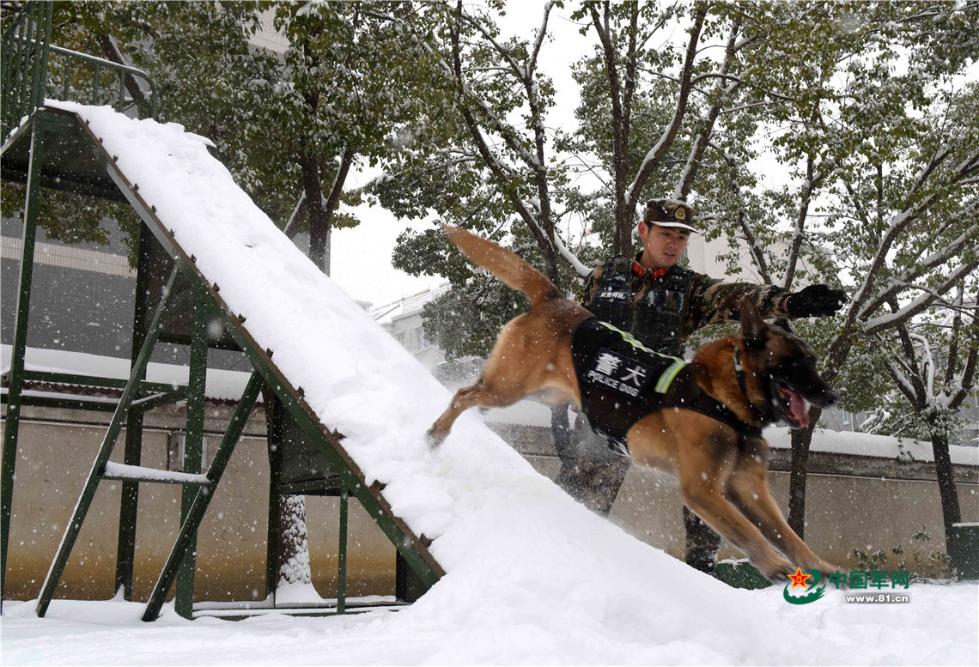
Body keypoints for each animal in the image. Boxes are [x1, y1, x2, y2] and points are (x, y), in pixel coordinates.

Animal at [432, 224, 848, 580]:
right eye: (796, 363)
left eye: (812, 360)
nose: (831, 396)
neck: (729, 398)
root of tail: (556, 299)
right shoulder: (703, 490)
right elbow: (748, 532)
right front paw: (775, 565)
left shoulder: (749, 490)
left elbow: (787, 534)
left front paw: (820, 567)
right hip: (509, 386)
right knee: (464, 394)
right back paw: (436, 433)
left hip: (543, 392)